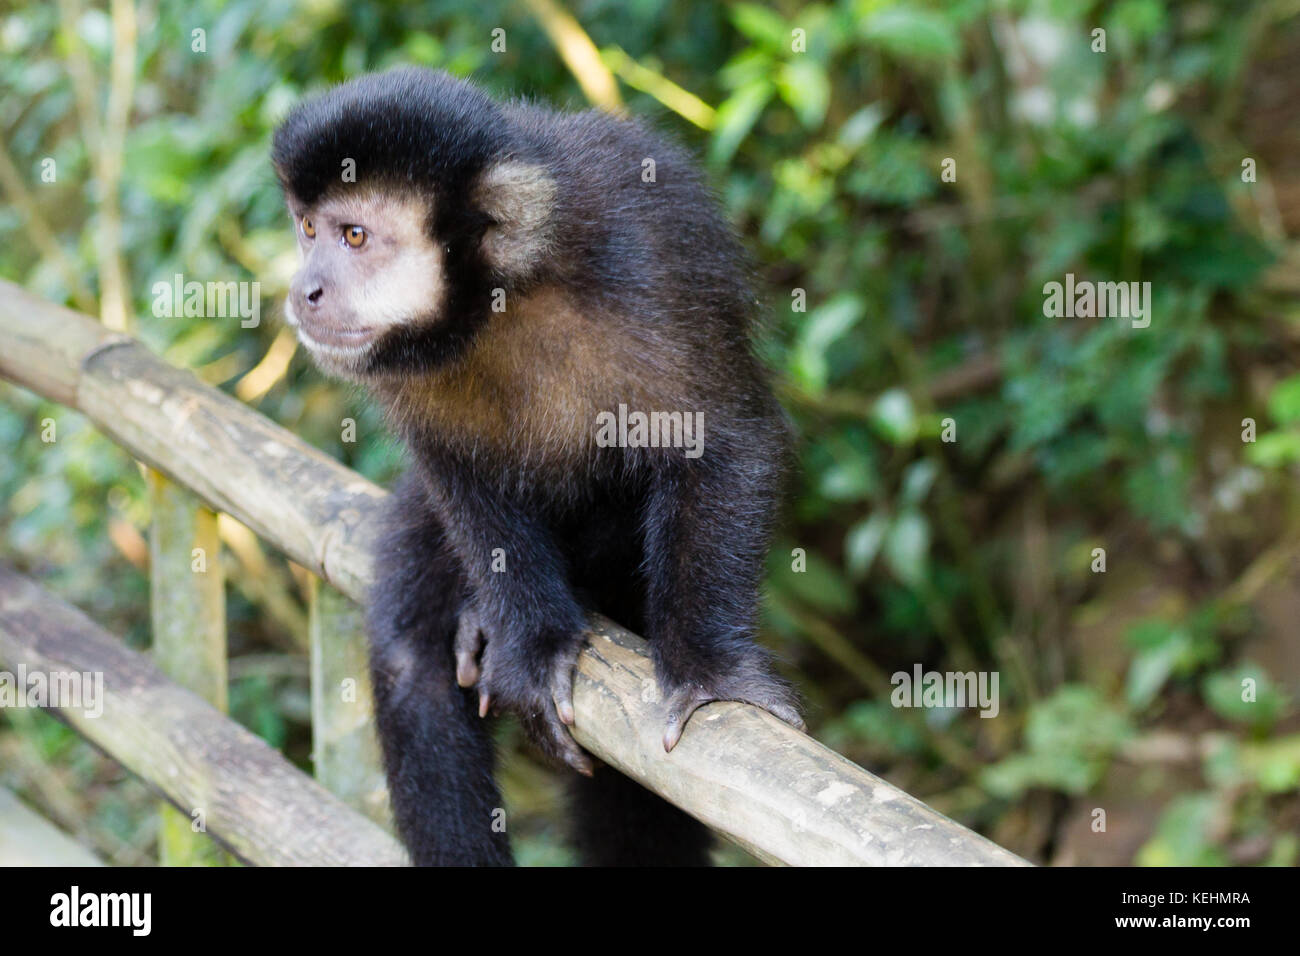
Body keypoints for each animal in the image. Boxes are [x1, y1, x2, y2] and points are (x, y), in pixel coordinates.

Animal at [273, 63, 795, 863]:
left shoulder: (648, 260)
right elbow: (456, 475)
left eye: (353, 235)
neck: (505, 293)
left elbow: (724, 443)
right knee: (410, 657)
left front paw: (711, 674)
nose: (305, 290)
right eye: (307, 230)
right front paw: (531, 646)